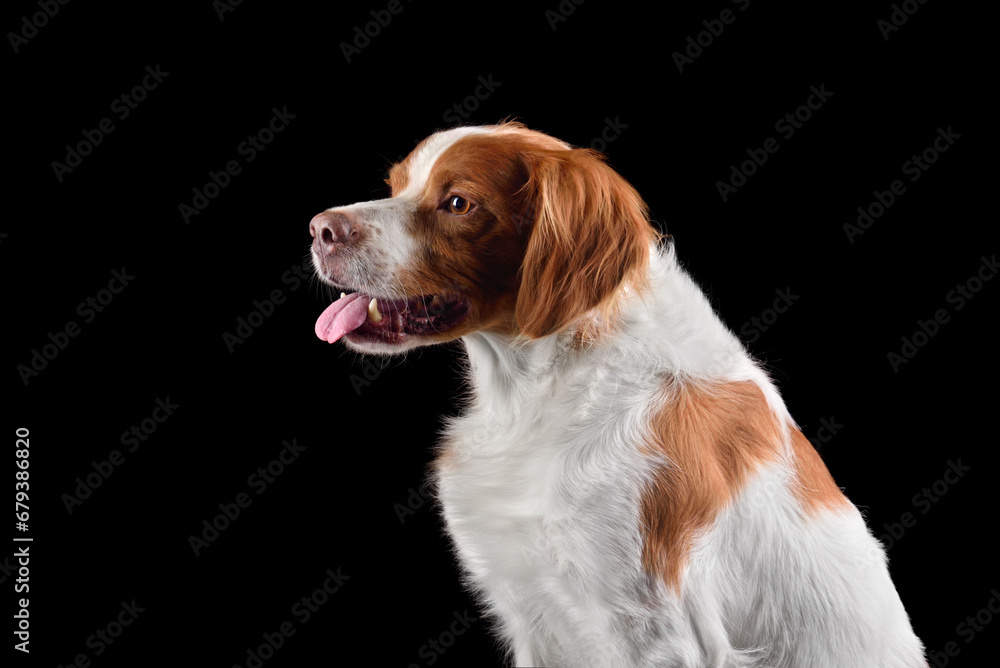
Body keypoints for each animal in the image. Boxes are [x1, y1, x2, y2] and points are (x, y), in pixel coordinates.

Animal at [310, 122, 928, 664]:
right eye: (395, 186)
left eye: (458, 203)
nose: (319, 230)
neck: (542, 386)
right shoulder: (535, 616)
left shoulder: (653, 630)